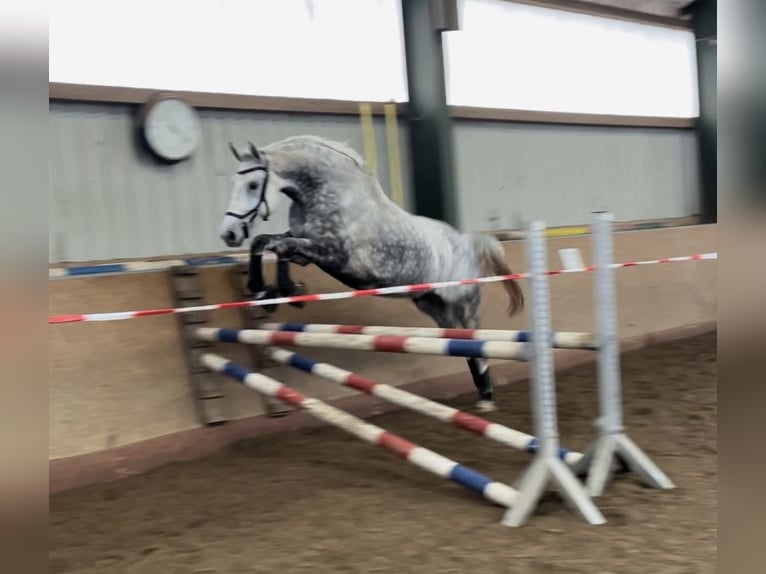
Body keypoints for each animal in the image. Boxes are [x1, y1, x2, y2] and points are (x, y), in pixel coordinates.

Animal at [219, 136, 524, 414]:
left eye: (253, 185)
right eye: (234, 182)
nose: (229, 234)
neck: (325, 193)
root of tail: (467, 242)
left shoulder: (333, 254)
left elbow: (280, 247)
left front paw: (279, 291)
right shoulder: (305, 248)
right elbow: (266, 242)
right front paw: (270, 292)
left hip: (463, 303)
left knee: (477, 342)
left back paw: (487, 397)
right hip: (433, 306)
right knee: (462, 343)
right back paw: (482, 394)